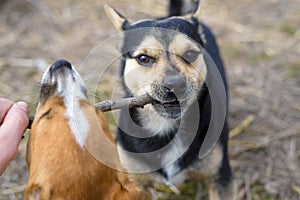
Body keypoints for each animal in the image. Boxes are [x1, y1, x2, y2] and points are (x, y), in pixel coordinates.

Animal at [104, 0, 236, 199]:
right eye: (143, 58)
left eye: (190, 54)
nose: (175, 85)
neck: (166, 126)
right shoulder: (135, 184)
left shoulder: (221, 179)